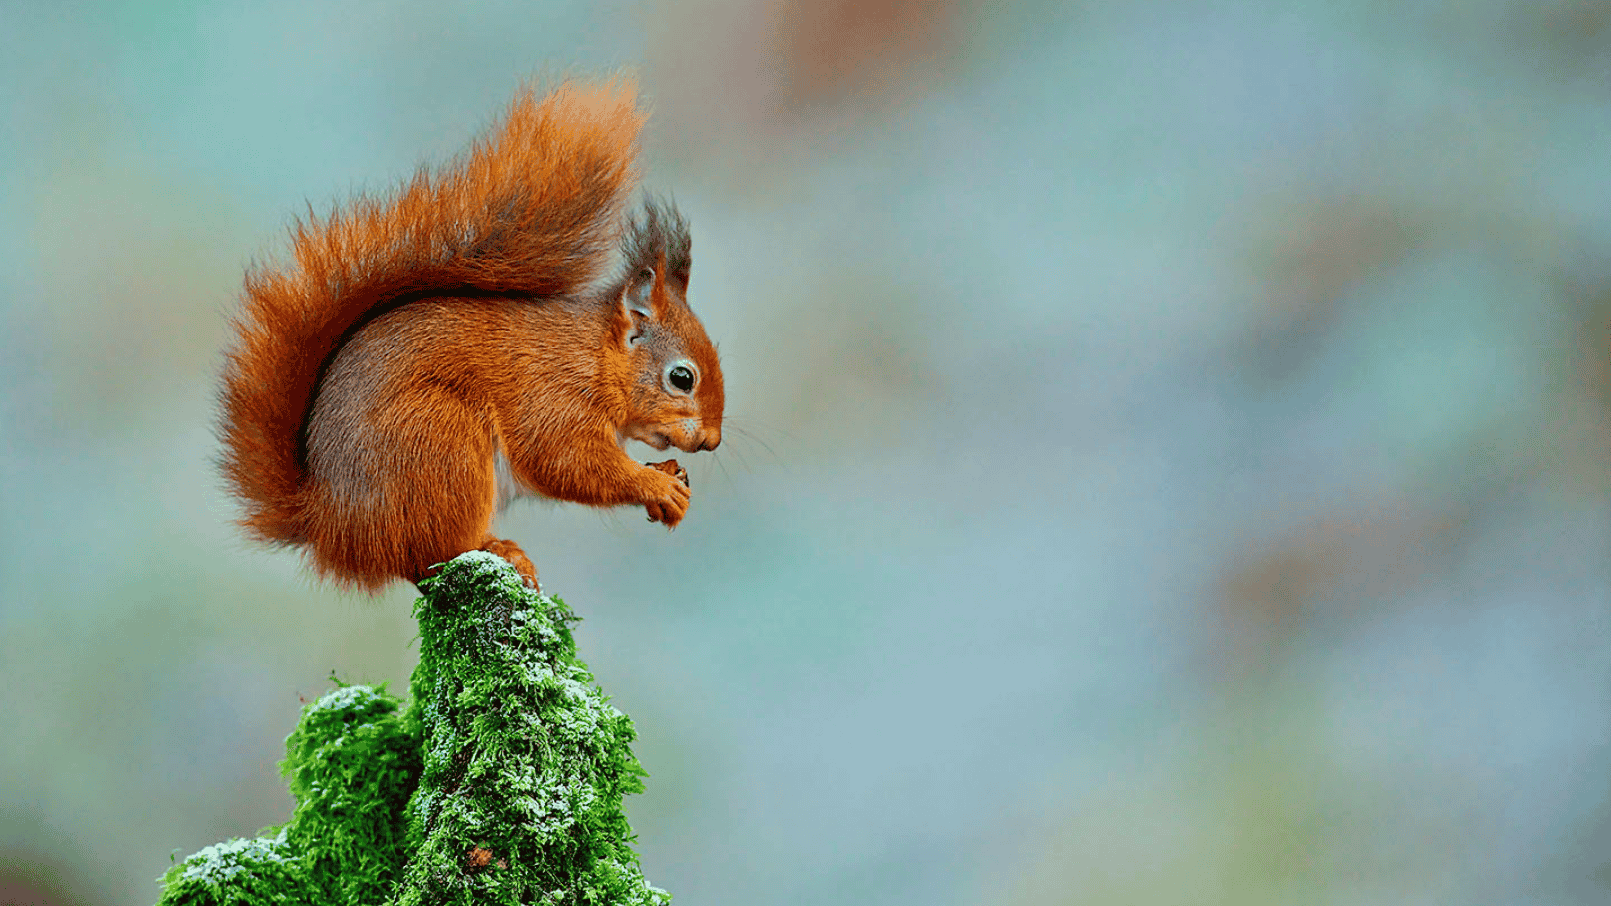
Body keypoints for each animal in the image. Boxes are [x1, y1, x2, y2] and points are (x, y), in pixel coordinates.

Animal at [216, 80, 723, 592]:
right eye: (682, 378)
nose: (712, 441)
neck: (596, 357)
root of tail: (330, 525)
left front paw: (669, 473)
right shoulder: (554, 399)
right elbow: (568, 461)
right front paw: (656, 485)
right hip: (443, 441)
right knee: (428, 556)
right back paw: (497, 549)